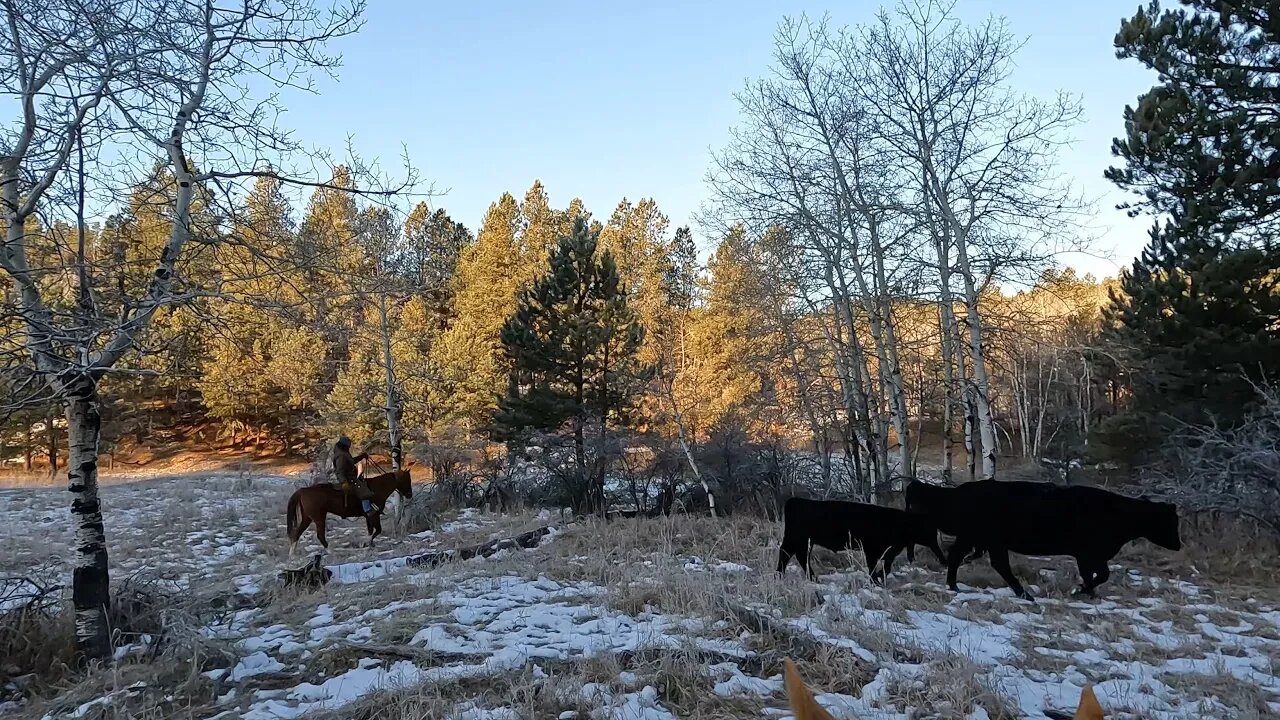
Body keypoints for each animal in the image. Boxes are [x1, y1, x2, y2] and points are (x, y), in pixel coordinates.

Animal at [773, 497, 947, 579]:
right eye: (927, 530)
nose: (942, 556)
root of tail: (796, 501)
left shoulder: (889, 552)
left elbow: (887, 568)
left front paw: (879, 577)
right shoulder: (871, 550)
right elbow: (873, 567)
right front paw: (875, 579)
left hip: (804, 542)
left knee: (800, 557)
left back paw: (810, 577)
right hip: (796, 539)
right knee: (786, 554)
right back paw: (781, 575)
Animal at [921, 479, 1177, 597]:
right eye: (1170, 521)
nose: (1178, 544)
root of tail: (959, 490)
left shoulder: (1091, 555)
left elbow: (1096, 575)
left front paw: (1088, 592)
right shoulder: (1088, 553)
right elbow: (1099, 575)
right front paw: (1081, 590)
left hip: (987, 540)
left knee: (987, 562)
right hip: (981, 537)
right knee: (971, 559)